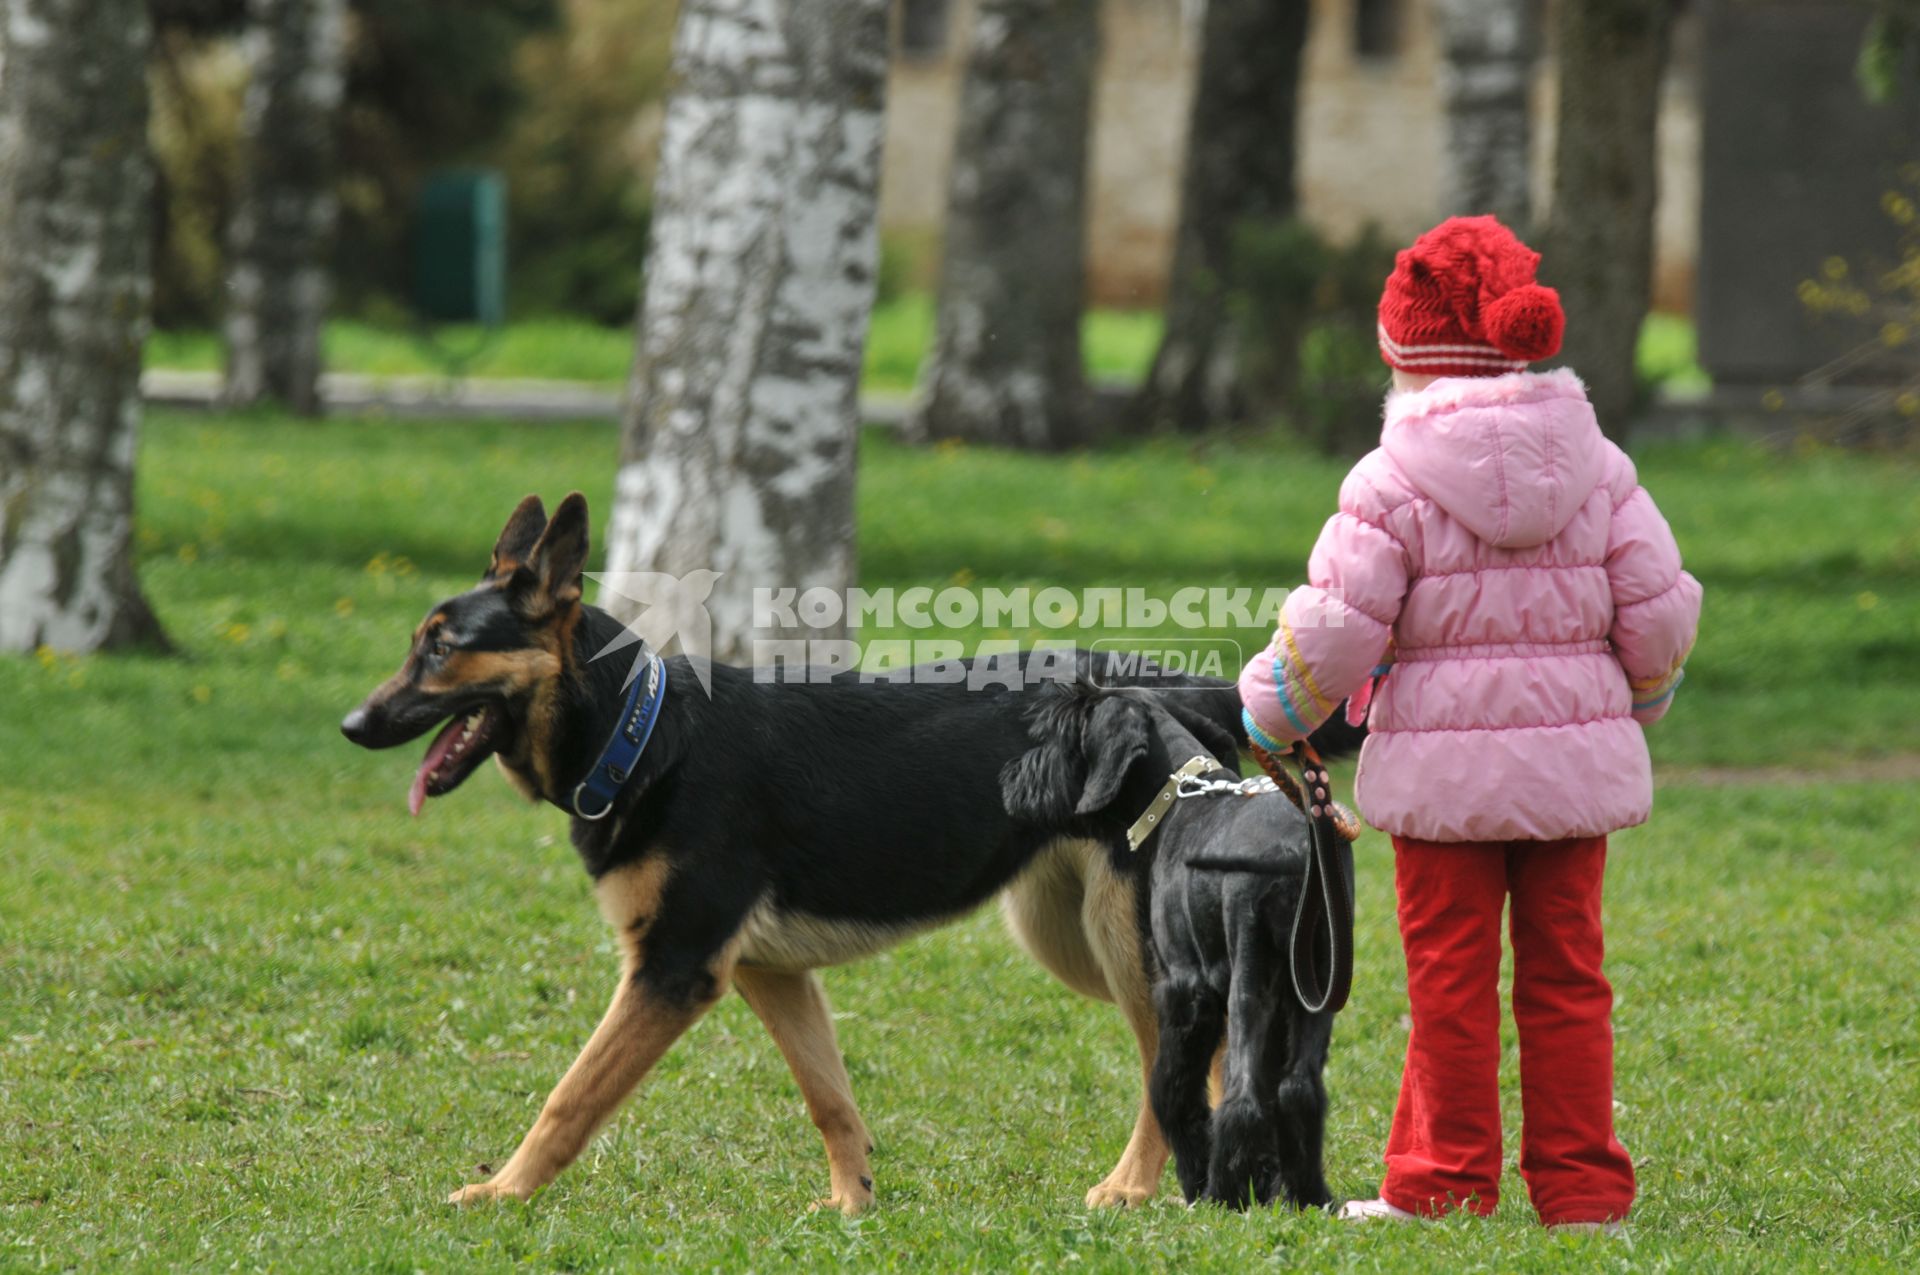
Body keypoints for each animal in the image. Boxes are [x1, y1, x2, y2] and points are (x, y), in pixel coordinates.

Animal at [341, 491, 1351, 1213]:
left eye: (441, 650)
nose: (353, 724)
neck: (640, 731)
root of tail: (1180, 687)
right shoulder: (766, 973)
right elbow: (831, 1099)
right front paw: (852, 1205)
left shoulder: (672, 971)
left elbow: (569, 1097)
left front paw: (500, 1191)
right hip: (1070, 937)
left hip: (1125, 945)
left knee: (1178, 1066)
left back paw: (1143, 1189)